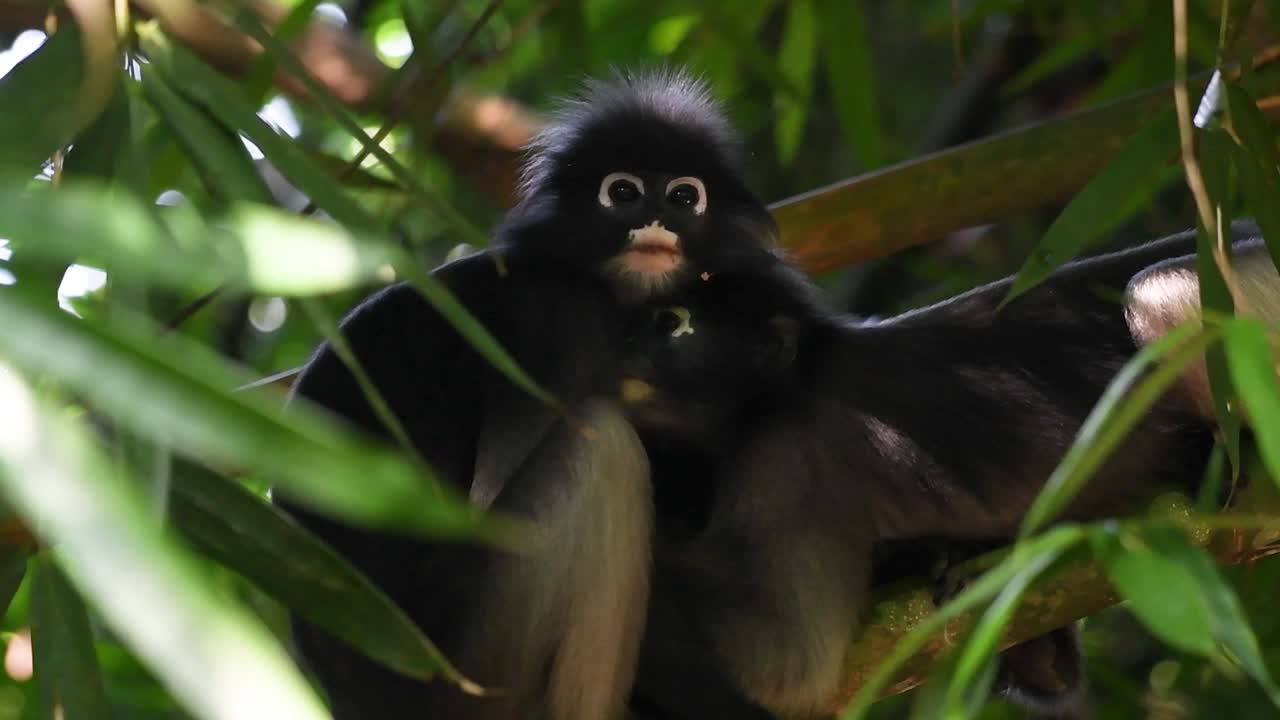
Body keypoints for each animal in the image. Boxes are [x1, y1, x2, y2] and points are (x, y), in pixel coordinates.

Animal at [272, 68, 781, 720]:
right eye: (623, 192)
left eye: (684, 197)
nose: (656, 222)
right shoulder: (561, 321)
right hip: (476, 661)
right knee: (602, 448)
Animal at [617, 223, 1274, 719]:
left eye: (672, 321)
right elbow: (1052, 669)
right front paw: (939, 554)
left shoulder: (788, 455)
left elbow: (785, 661)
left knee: (1155, 288)